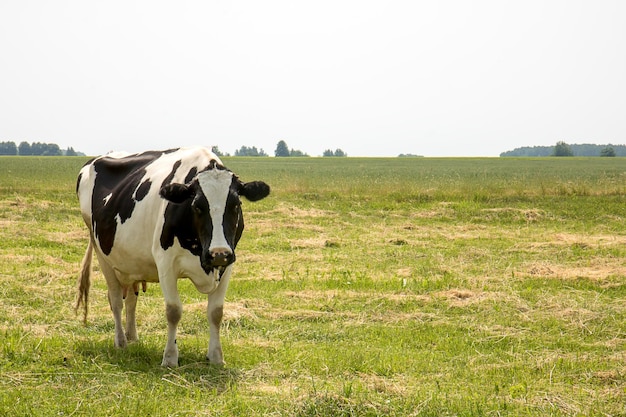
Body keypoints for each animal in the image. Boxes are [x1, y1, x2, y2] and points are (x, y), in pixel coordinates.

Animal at [74, 145, 270, 364]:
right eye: (197, 206)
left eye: (236, 205)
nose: (218, 253)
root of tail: (93, 160)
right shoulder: (165, 263)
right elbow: (173, 311)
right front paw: (169, 358)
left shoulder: (227, 265)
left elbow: (216, 312)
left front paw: (216, 357)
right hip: (102, 254)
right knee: (116, 300)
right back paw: (121, 342)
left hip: (132, 262)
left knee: (131, 300)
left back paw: (133, 337)